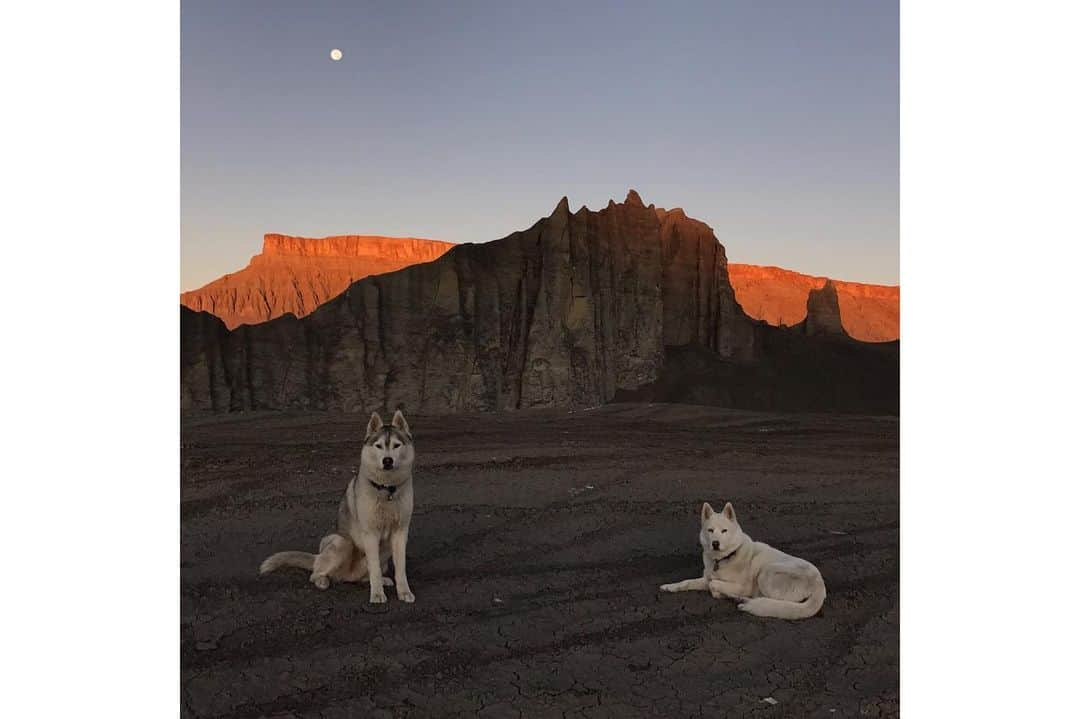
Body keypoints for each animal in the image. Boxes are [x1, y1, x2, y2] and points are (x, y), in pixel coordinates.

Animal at [259, 408, 414, 600]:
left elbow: (400, 569)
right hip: (341, 543)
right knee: (316, 572)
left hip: (383, 553)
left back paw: (381, 580)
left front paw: (404, 592)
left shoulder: (401, 533)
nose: (387, 460)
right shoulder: (370, 534)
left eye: (396, 445)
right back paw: (322, 581)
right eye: (379, 446)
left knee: (367, 574)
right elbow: (375, 570)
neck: (387, 490)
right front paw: (377, 595)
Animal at [656, 498, 825, 617]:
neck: (725, 558)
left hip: (766, 574)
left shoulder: (742, 586)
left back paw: (745, 600)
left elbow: (713, 585)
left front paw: (721, 594)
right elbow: (687, 582)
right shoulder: (706, 578)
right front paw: (669, 587)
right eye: (710, 530)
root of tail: (820, 586)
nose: (715, 543)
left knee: (774, 602)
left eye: (724, 531)